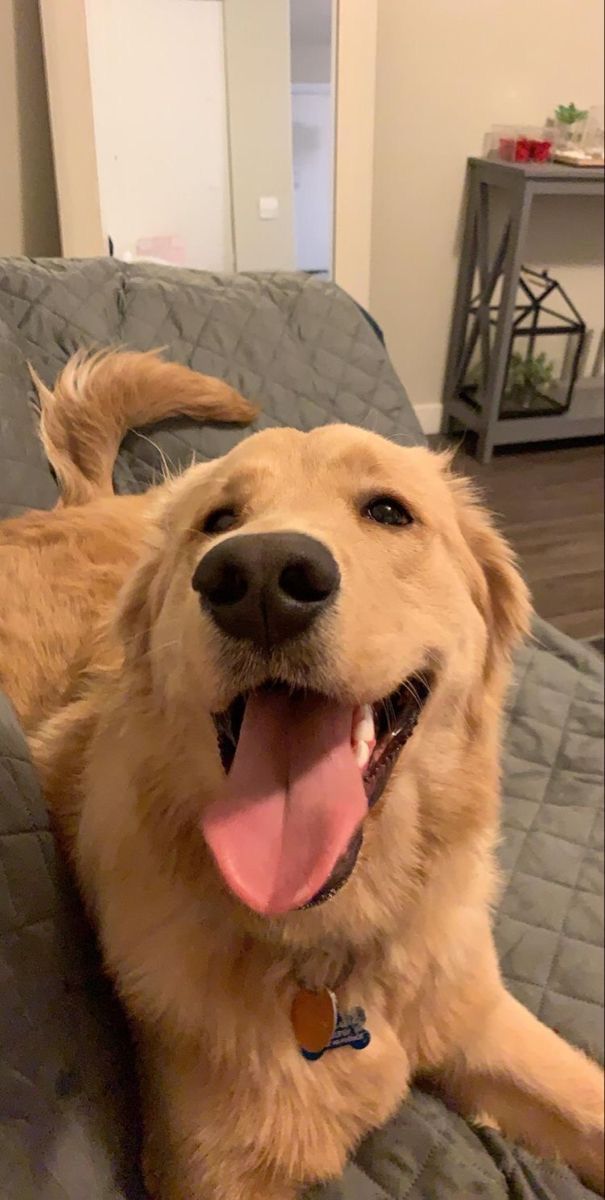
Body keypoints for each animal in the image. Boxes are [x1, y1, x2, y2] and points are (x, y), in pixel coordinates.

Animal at [0, 350, 602, 1200]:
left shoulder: (483, 1022)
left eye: (387, 511)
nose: (257, 578)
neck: (333, 953)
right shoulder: (213, 1172)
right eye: (218, 521)